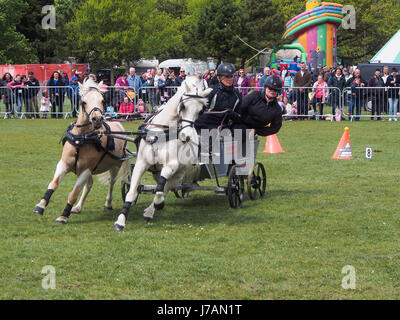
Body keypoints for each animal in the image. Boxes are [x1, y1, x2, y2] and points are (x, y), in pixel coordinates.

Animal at [112, 75, 212, 230]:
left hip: (179, 174)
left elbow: (160, 190)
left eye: (201, 110)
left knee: (166, 187)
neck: (160, 133)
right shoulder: (141, 163)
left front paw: (157, 203)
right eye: (183, 106)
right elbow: (132, 191)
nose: (186, 136)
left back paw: (151, 210)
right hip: (156, 172)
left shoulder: (172, 165)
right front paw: (121, 220)